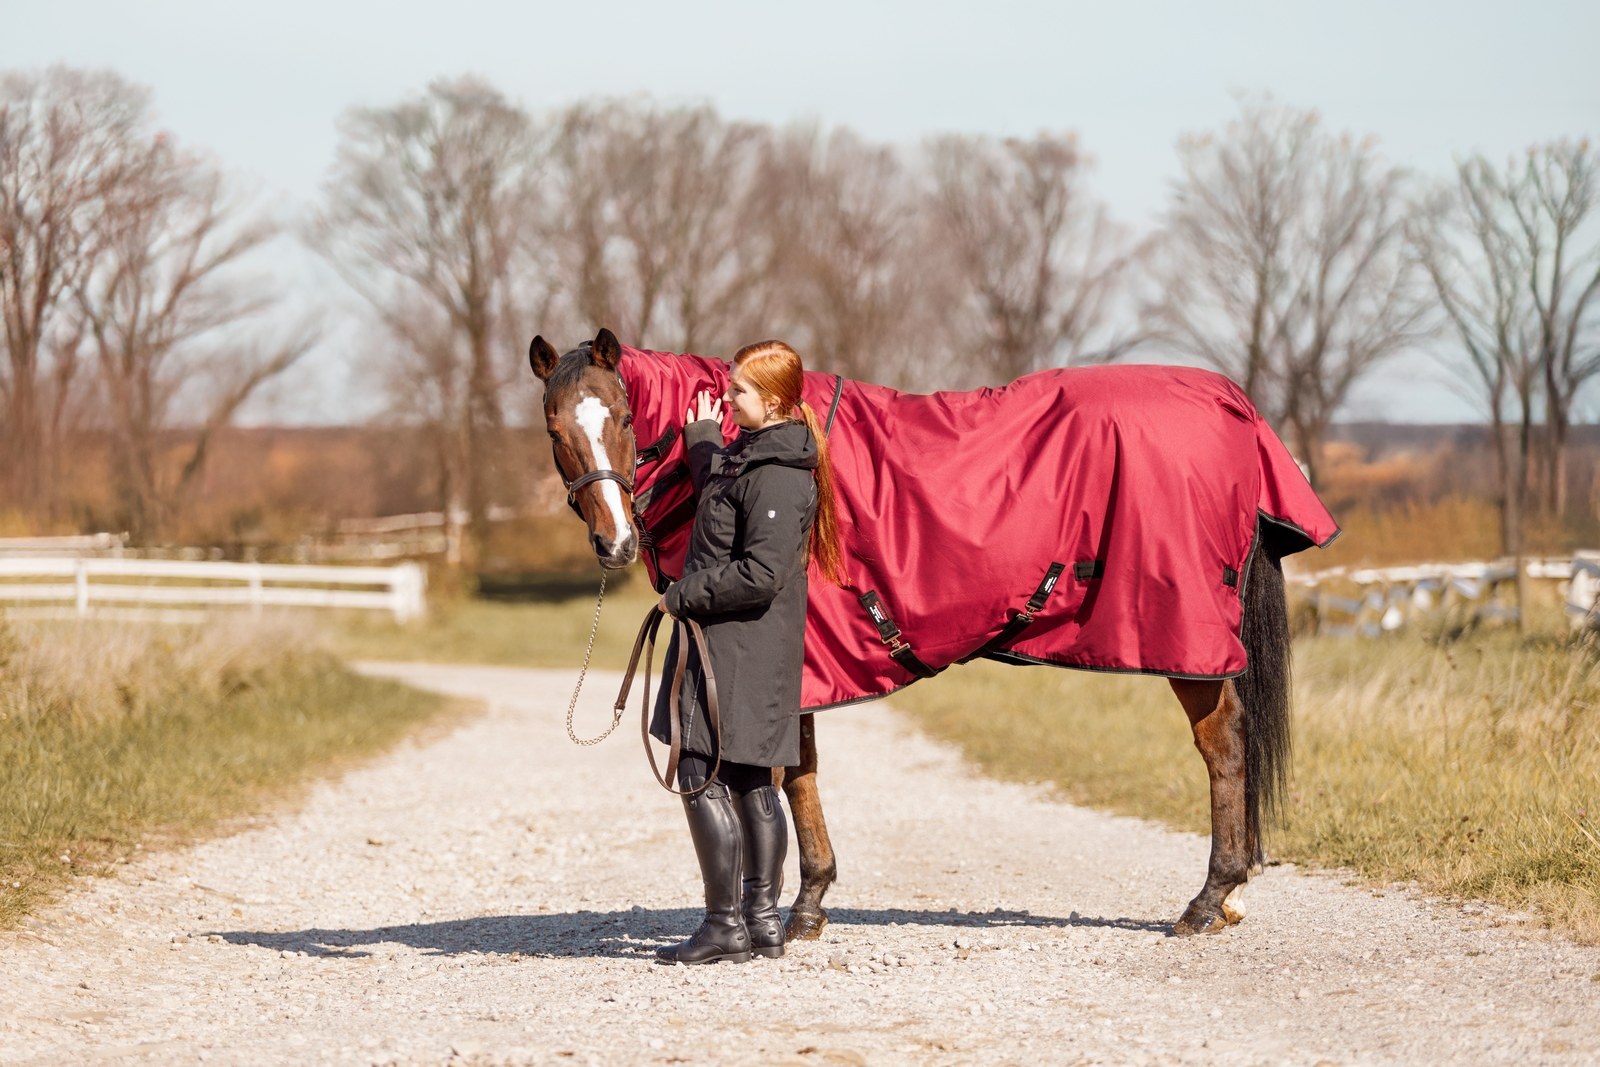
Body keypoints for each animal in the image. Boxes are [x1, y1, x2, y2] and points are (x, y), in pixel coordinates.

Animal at [530, 327, 1338, 939]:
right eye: (555, 428)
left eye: (623, 417)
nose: (614, 543)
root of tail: (1232, 403)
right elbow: (798, 773)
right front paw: (807, 902)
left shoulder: (801, 658)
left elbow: (793, 773)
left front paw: (801, 908)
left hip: (1188, 641)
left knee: (1223, 746)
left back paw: (1209, 899)